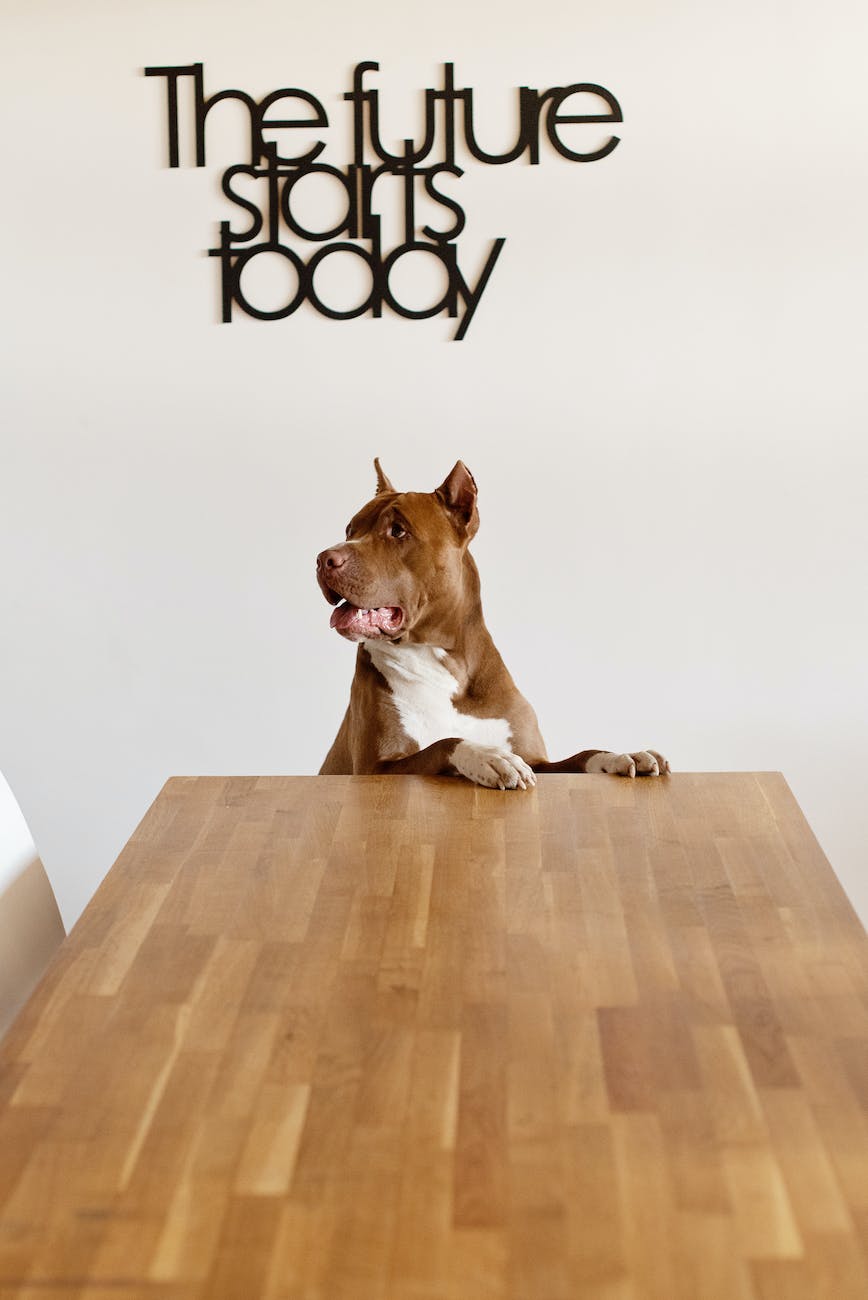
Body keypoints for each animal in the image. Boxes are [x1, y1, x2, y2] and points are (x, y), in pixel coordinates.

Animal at [315, 465, 670, 790]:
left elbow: (580, 756)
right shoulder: (375, 769)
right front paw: (489, 757)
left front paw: (621, 755)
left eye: (398, 531)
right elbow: (443, 744)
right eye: (350, 529)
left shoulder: (537, 760)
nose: (323, 559)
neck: (440, 660)